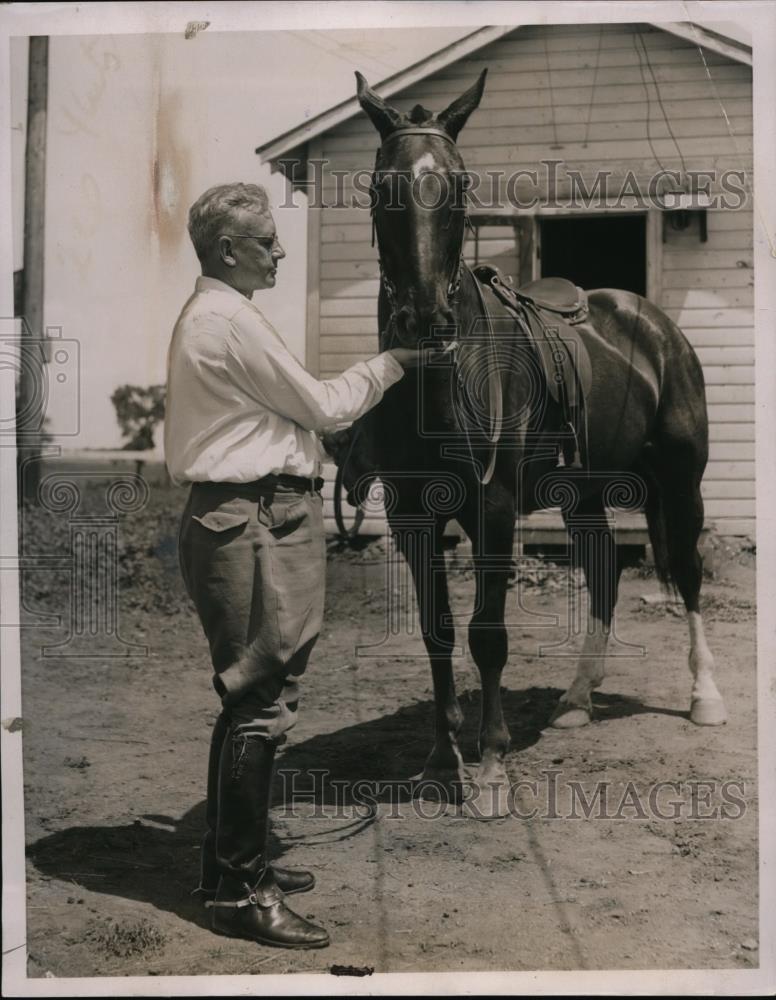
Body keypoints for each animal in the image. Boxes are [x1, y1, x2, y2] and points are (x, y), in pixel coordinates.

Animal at [334, 70, 728, 816]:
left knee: (689, 576)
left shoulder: (491, 509)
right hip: (585, 494)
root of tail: (654, 324)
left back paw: (704, 698)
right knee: (604, 571)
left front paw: (489, 766)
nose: (425, 317)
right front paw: (441, 761)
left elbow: (487, 635)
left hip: (680, 480)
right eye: (380, 185)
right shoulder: (410, 517)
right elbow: (436, 631)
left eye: (458, 184)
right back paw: (576, 701)